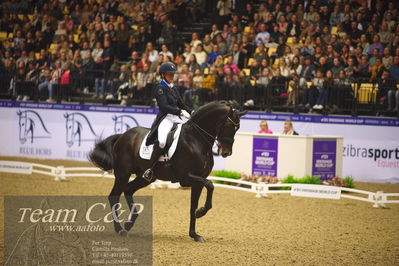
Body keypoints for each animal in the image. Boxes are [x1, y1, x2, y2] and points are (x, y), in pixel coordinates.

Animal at [90, 101, 247, 242]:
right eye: (229, 125)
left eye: (238, 127)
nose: (226, 153)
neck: (196, 139)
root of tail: (122, 135)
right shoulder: (186, 177)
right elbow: (210, 184)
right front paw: (201, 212)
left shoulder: (197, 182)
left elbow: (193, 205)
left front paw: (194, 234)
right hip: (123, 173)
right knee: (114, 196)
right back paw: (120, 229)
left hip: (145, 177)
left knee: (128, 190)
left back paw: (129, 224)